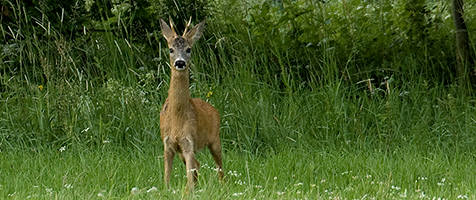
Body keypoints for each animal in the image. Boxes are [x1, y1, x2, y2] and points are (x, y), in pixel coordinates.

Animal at [159, 18, 224, 190]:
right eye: (170, 49)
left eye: (189, 49)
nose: (180, 62)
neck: (176, 118)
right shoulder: (168, 144)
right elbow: (166, 177)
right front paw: (166, 190)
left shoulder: (189, 142)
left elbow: (189, 179)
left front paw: (189, 192)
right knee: (198, 164)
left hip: (215, 139)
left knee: (220, 167)